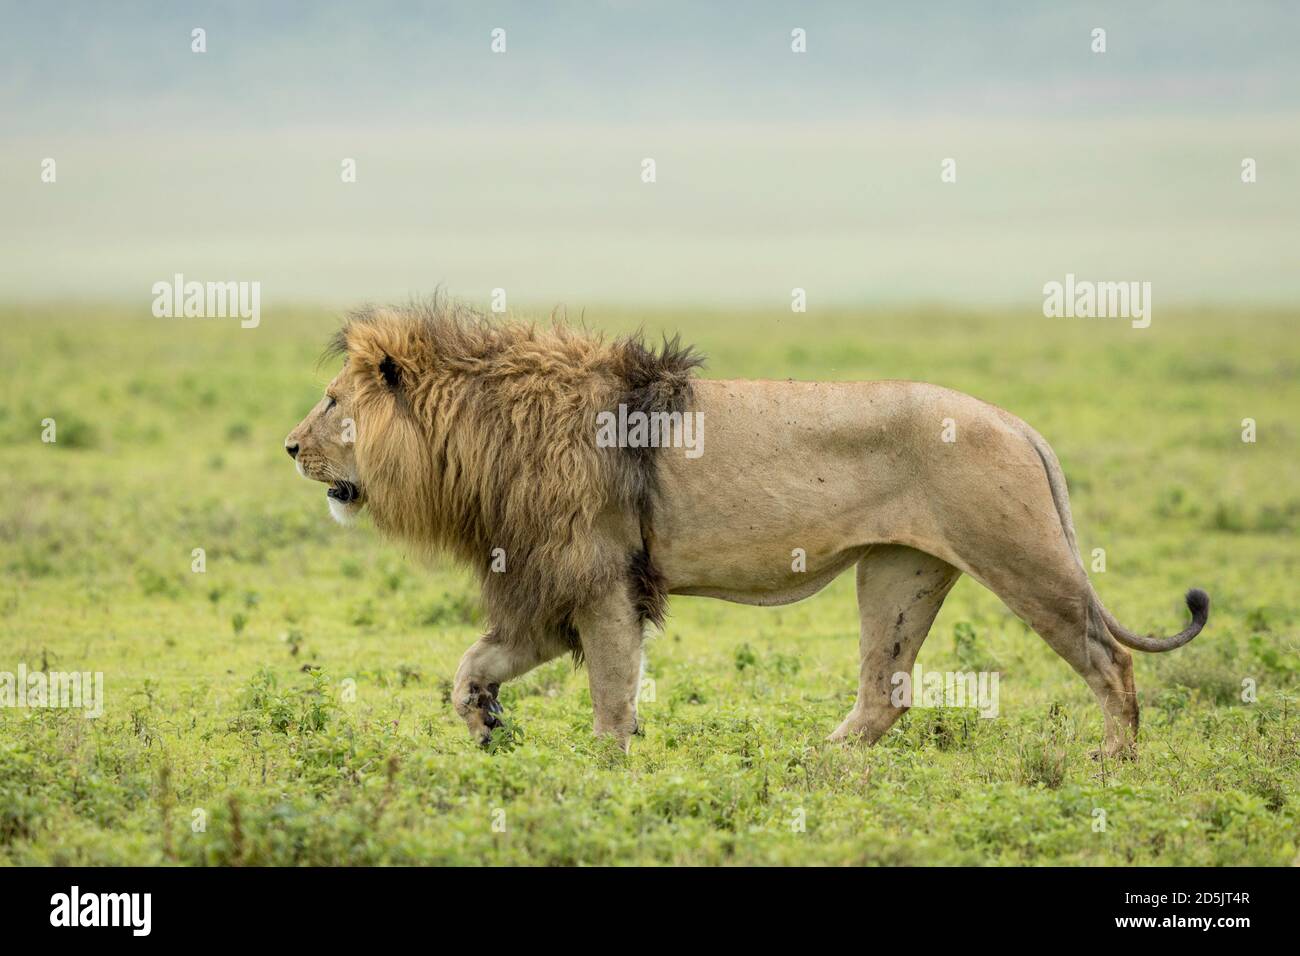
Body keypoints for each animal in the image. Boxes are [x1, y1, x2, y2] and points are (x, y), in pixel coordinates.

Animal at [285, 300, 1208, 757]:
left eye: (331, 402)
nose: (291, 446)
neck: (476, 432)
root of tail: (1018, 422)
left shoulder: (602, 578)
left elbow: (610, 697)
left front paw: (606, 777)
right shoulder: (551, 585)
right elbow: (472, 664)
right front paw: (482, 723)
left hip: (1020, 557)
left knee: (1110, 659)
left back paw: (1116, 764)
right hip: (897, 573)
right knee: (887, 691)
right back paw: (820, 763)